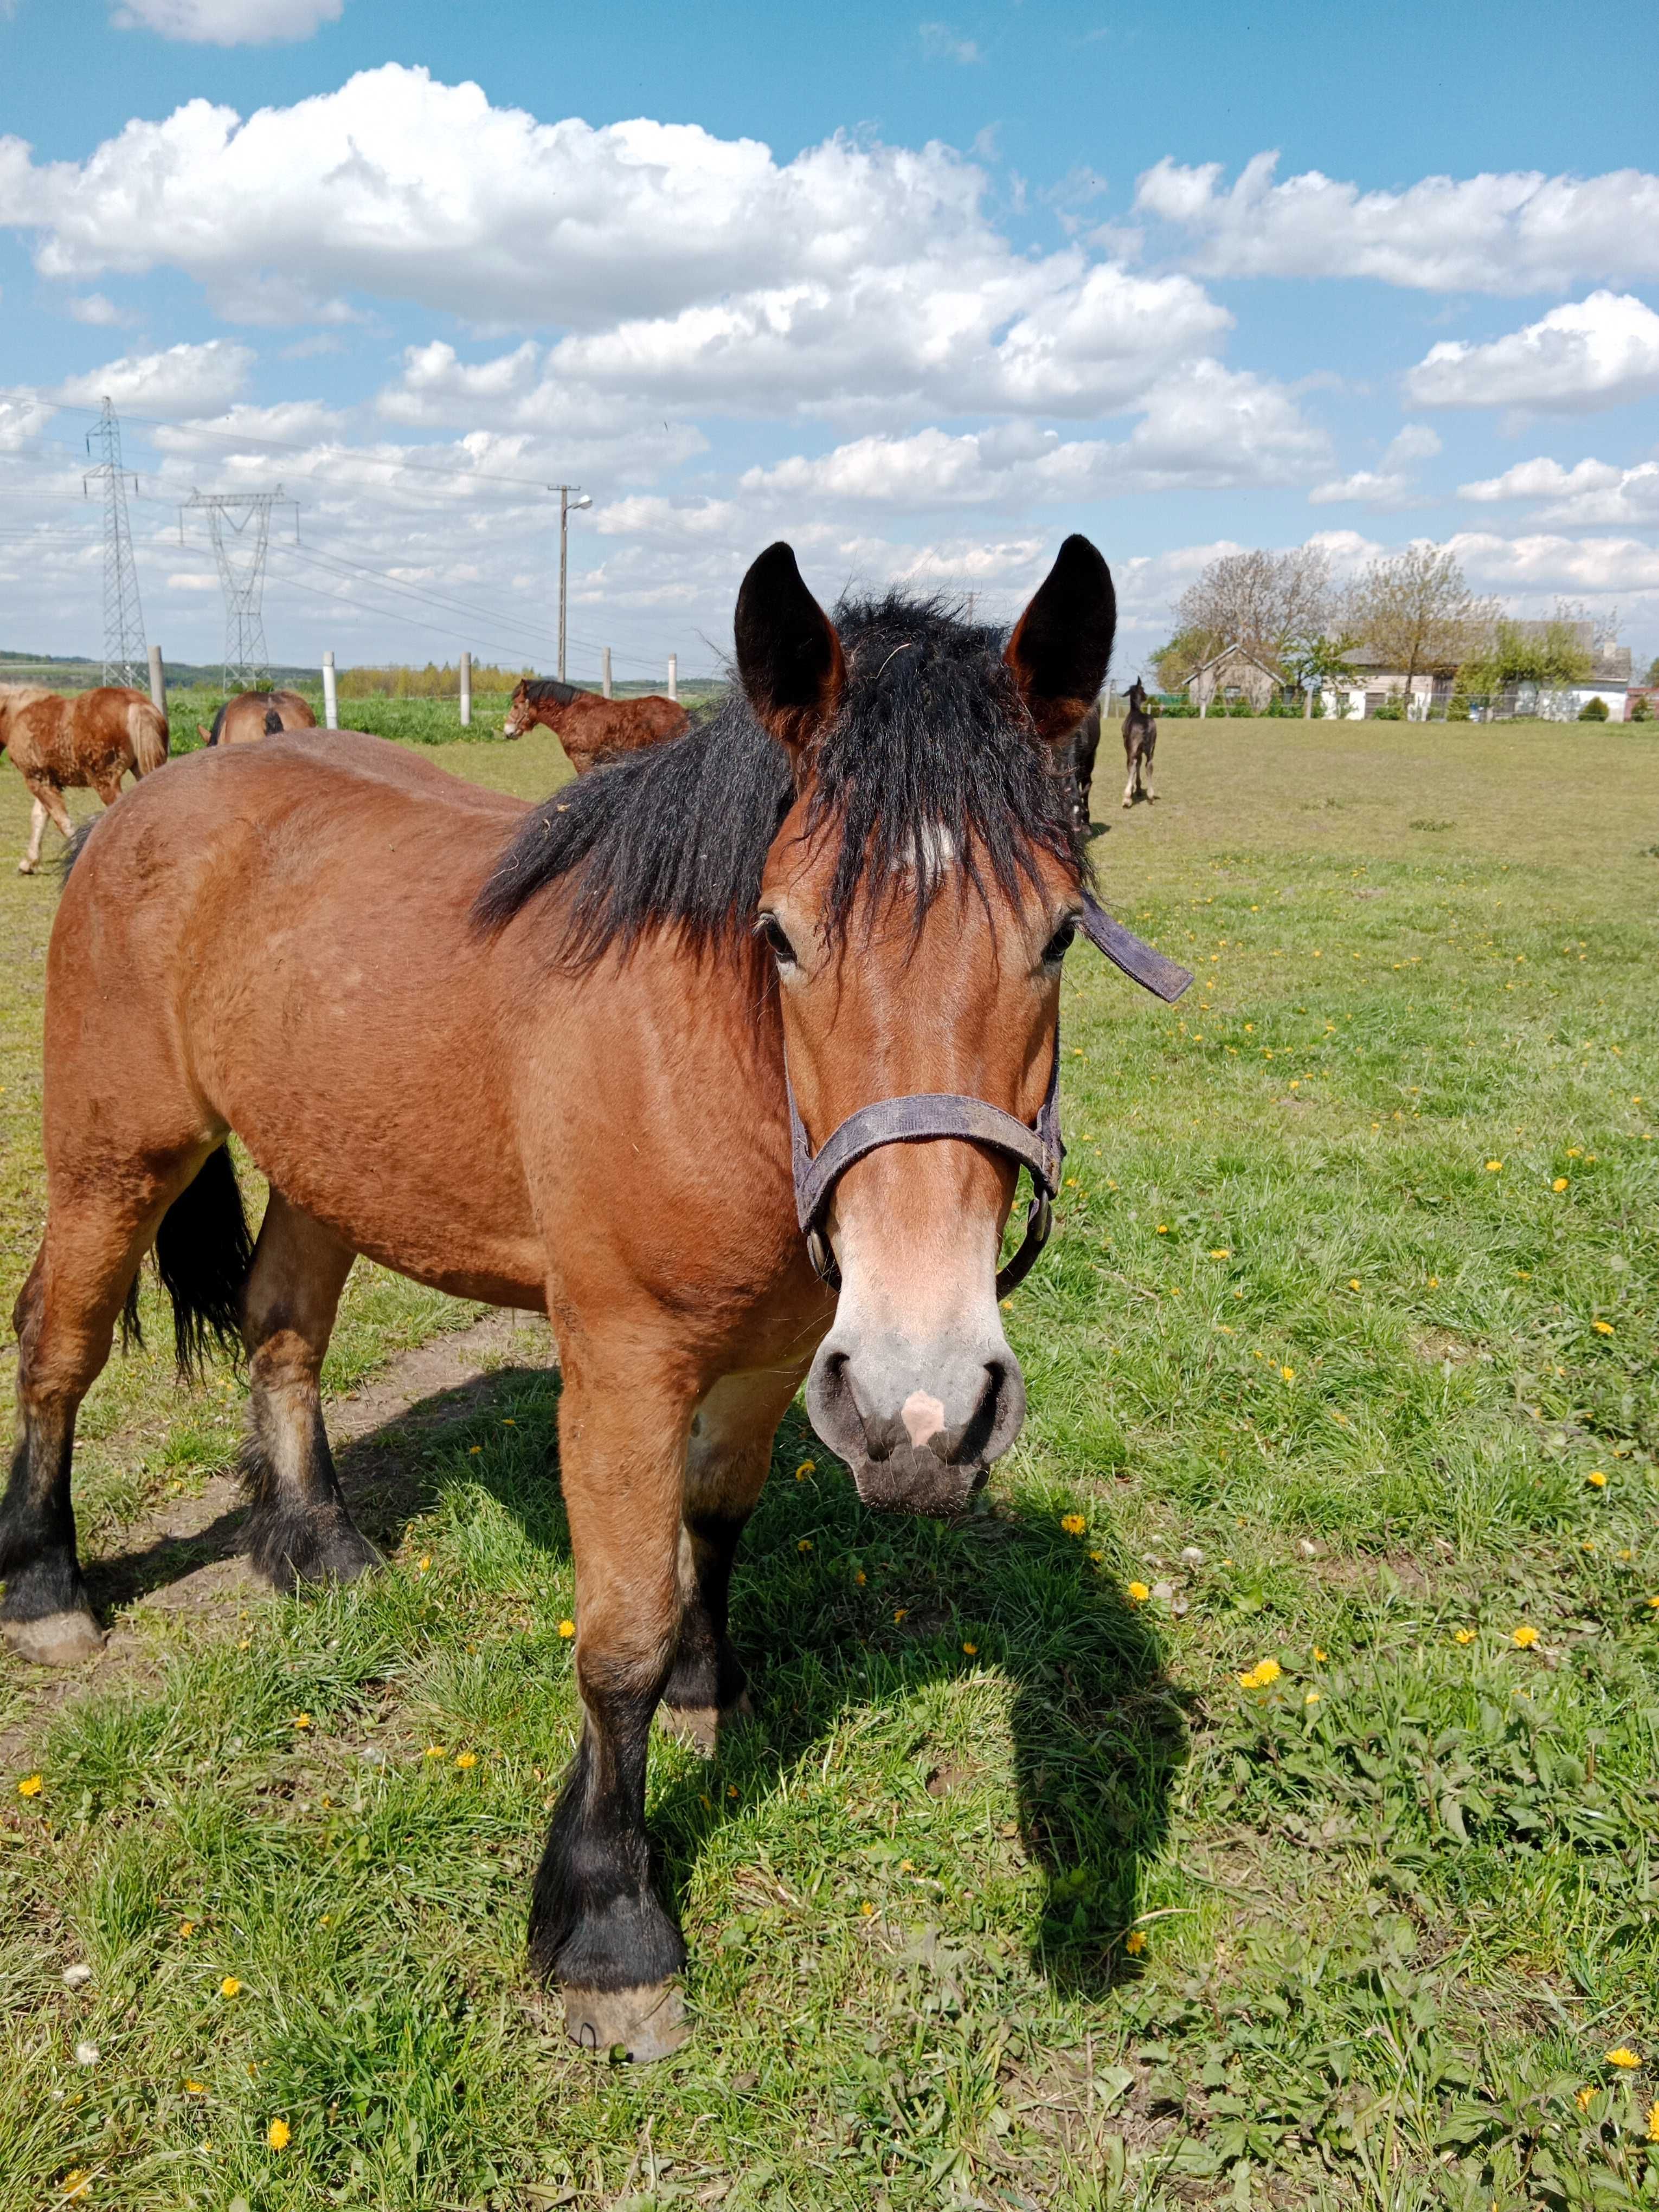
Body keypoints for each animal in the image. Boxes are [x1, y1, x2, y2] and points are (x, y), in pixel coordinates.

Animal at [0, 681, 169, 871]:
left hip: (105, 782)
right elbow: (39, 817)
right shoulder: (47, 780)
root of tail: (137, 705)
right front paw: (29, 863)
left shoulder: (36, 780)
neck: (17, 714)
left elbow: (62, 821)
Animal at [1123, 681, 1159, 814]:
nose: (1146, 696)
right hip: (1151, 746)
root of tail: (1144, 725)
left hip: (1132, 746)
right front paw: (1138, 789)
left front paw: (1135, 789)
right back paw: (1151, 797)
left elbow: (1135, 766)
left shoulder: (1130, 747)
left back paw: (1127, 799)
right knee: (1149, 765)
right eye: (1143, 689)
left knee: (1132, 764)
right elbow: (1140, 763)